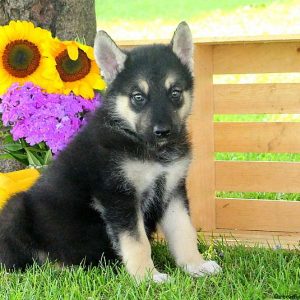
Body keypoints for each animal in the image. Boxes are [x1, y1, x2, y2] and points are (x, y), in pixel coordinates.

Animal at [0, 22, 220, 282]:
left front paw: (196, 265)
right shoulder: (119, 196)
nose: (163, 132)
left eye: (175, 93)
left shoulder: (172, 190)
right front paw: (147, 277)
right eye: (138, 97)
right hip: (14, 210)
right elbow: (138, 242)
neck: (146, 148)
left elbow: (184, 231)